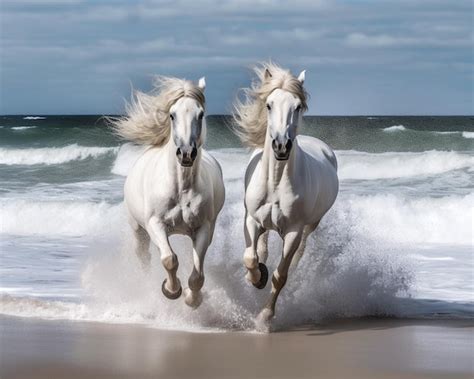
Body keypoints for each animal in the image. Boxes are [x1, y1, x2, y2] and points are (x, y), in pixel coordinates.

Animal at [111, 75, 224, 308]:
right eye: (172, 115)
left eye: (201, 114)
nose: (186, 153)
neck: (181, 189)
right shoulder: (155, 224)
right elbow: (169, 260)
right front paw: (171, 290)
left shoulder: (204, 228)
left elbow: (197, 275)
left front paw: (192, 298)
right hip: (138, 229)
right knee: (144, 256)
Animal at [232, 62, 336, 330]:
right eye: (269, 104)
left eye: (297, 106)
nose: (281, 145)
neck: (276, 182)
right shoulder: (251, 220)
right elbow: (250, 257)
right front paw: (257, 277)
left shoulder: (293, 232)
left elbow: (281, 276)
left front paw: (264, 317)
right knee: (262, 245)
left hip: (311, 225)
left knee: (298, 254)